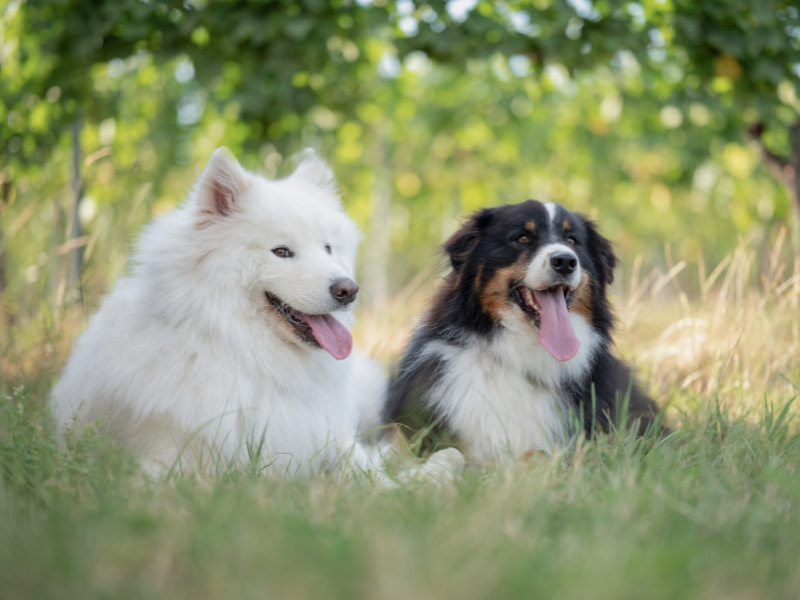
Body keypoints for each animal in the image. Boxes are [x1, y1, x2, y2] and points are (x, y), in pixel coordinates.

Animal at [51, 148, 390, 476]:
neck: (248, 353)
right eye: (281, 252)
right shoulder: (165, 457)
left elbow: (366, 468)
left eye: (328, 248)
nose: (349, 290)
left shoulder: (329, 436)